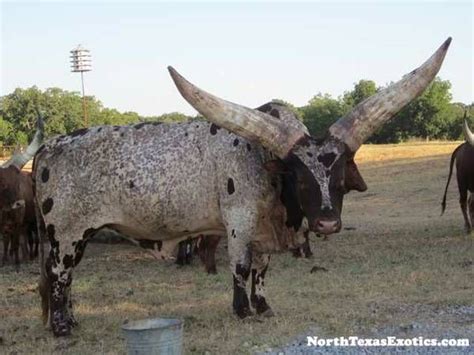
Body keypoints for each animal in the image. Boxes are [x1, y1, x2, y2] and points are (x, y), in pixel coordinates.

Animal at [34, 38, 452, 336]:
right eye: (300, 177)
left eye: (338, 178)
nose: (328, 223)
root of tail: (46, 149)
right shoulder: (240, 219)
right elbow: (240, 264)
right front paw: (242, 310)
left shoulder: (265, 229)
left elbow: (262, 269)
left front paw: (263, 307)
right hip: (68, 233)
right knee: (59, 273)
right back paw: (62, 328)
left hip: (73, 236)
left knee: (63, 276)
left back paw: (70, 321)